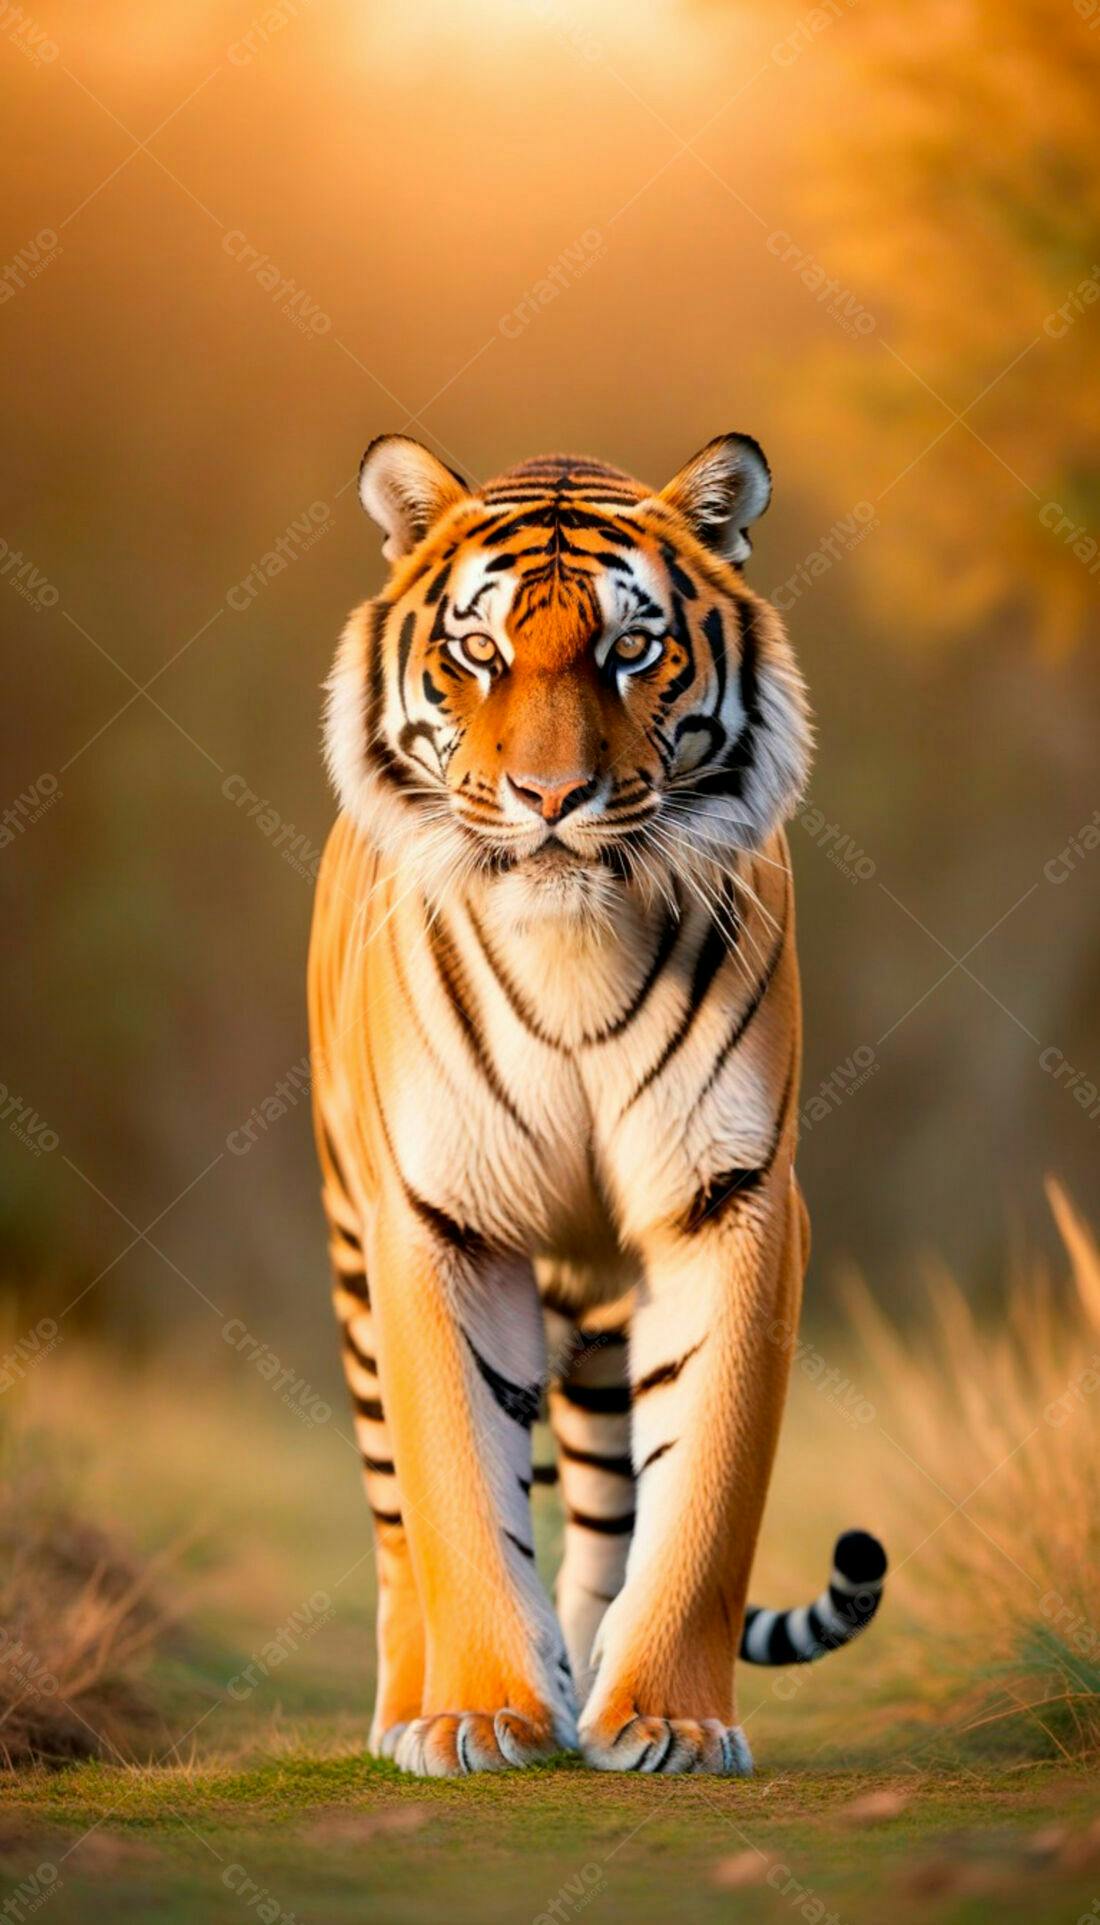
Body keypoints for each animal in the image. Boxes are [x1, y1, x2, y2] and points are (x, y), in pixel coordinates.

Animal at [308, 432, 887, 1778]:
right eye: (478, 649)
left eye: (632, 648)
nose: (551, 795)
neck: (572, 945)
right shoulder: (438, 1223)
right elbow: (456, 1490)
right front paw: (475, 1716)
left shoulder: (729, 1202)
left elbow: (704, 1490)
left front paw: (666, 1718)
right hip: (353, 1256)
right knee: (393, 1520)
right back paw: (410, 1703)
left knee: (606, 1507)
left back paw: (584, 1684)